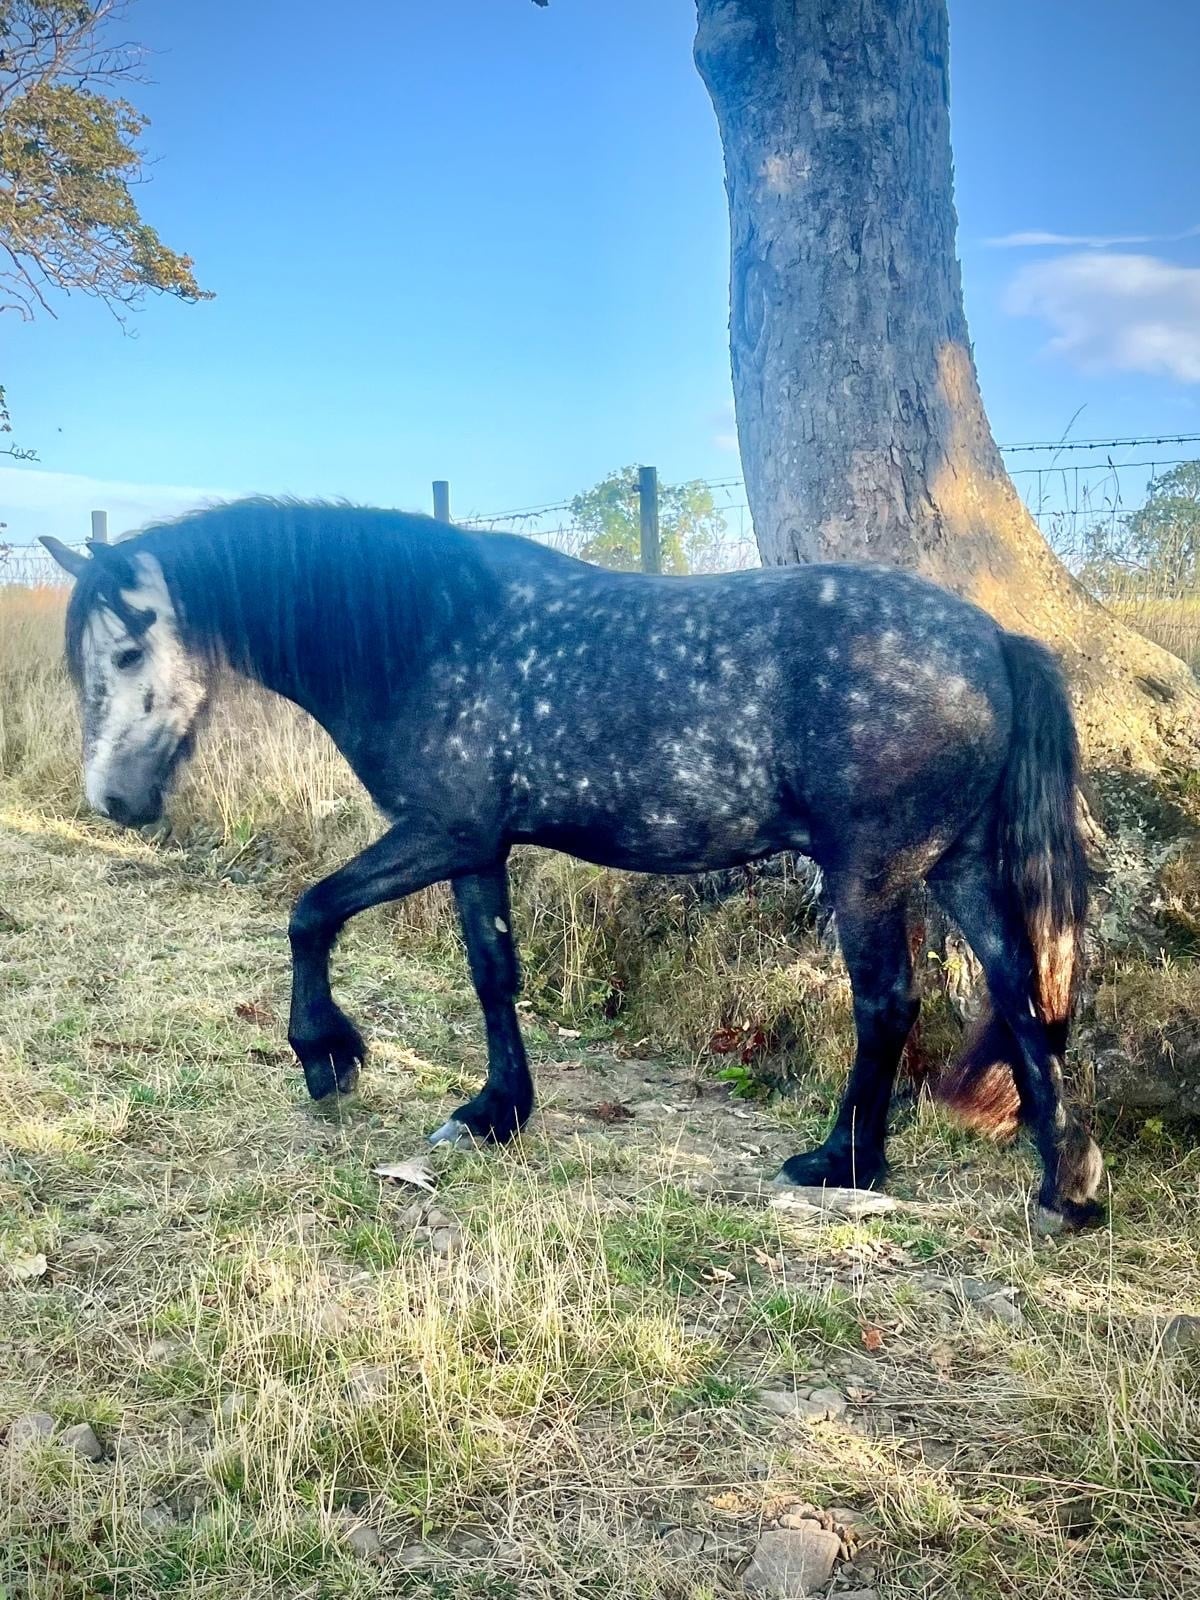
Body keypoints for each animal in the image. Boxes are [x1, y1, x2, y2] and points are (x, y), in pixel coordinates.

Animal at [42, 498, 1104, 1230]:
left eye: (128, 652)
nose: (114, 803)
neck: (432, 633)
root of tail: (991, 640)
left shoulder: (440, 832)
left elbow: (311, 911)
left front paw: (327, 1055)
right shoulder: (476, 849)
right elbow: (491, 972)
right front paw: (494, 1112)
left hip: (871, 873)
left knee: (887, 1003)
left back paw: (842, 1163)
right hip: (954, 865)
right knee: (1020, 992)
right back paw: (1064, 1187)